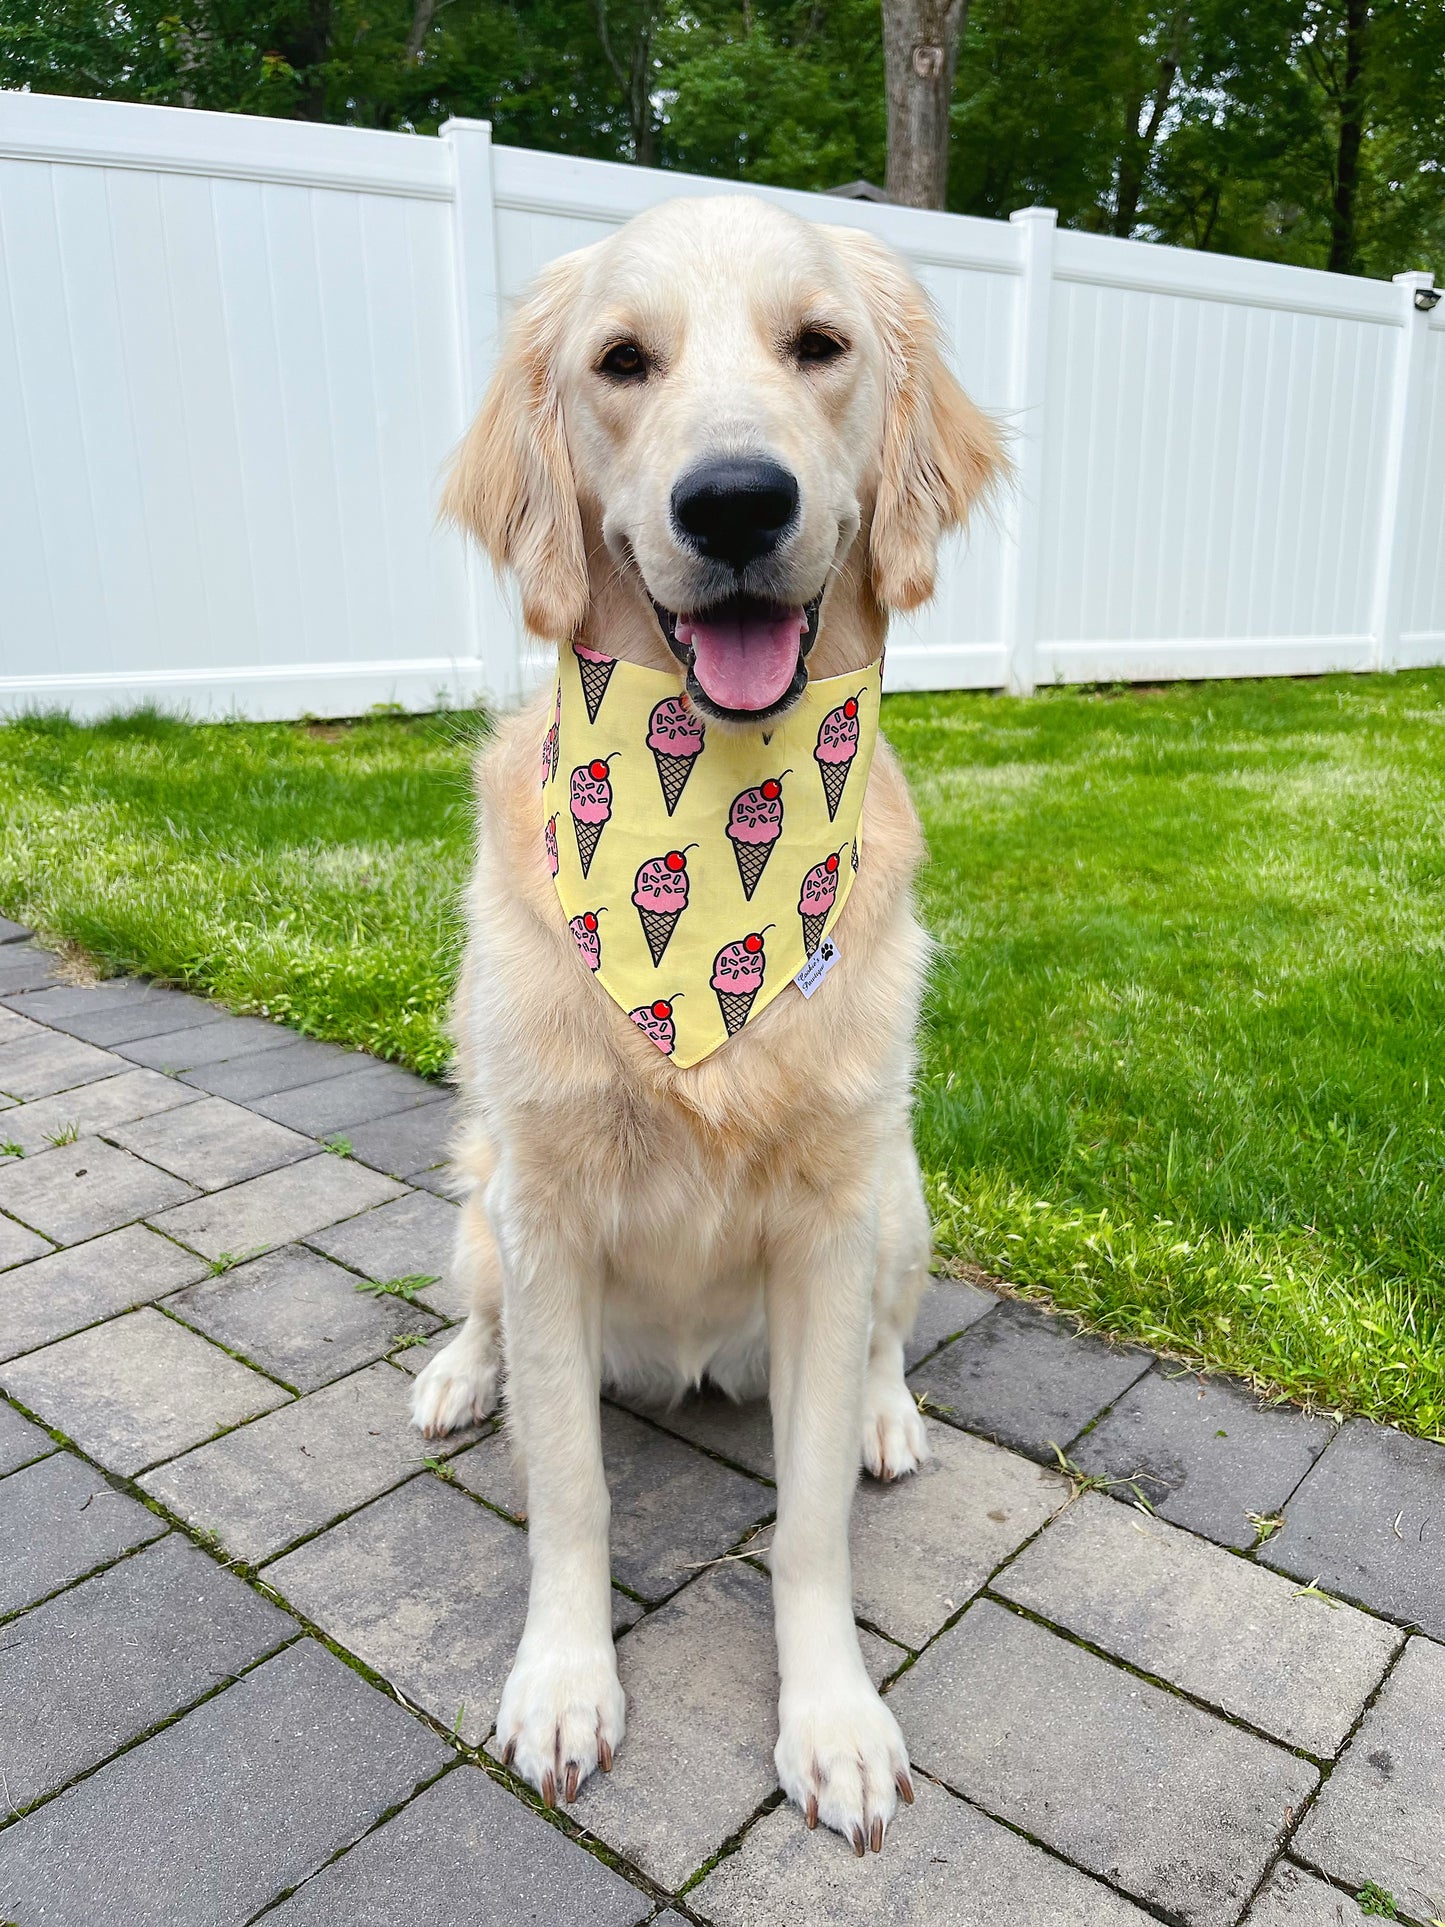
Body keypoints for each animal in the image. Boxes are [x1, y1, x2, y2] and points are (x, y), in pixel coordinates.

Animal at [410, 195, 1009, 1849]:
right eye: (623, 361)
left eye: (820, 344)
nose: (735, 502)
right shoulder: (546, 1206)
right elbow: (568, 1490)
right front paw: (563, 1684)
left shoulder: (827, 1218)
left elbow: (808, 1527)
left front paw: (835, 1722)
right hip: (482, 1189)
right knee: (476, 1308)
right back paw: (458, 1375)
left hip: (901, 1193)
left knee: (884, 1338)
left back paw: (884, 1414)